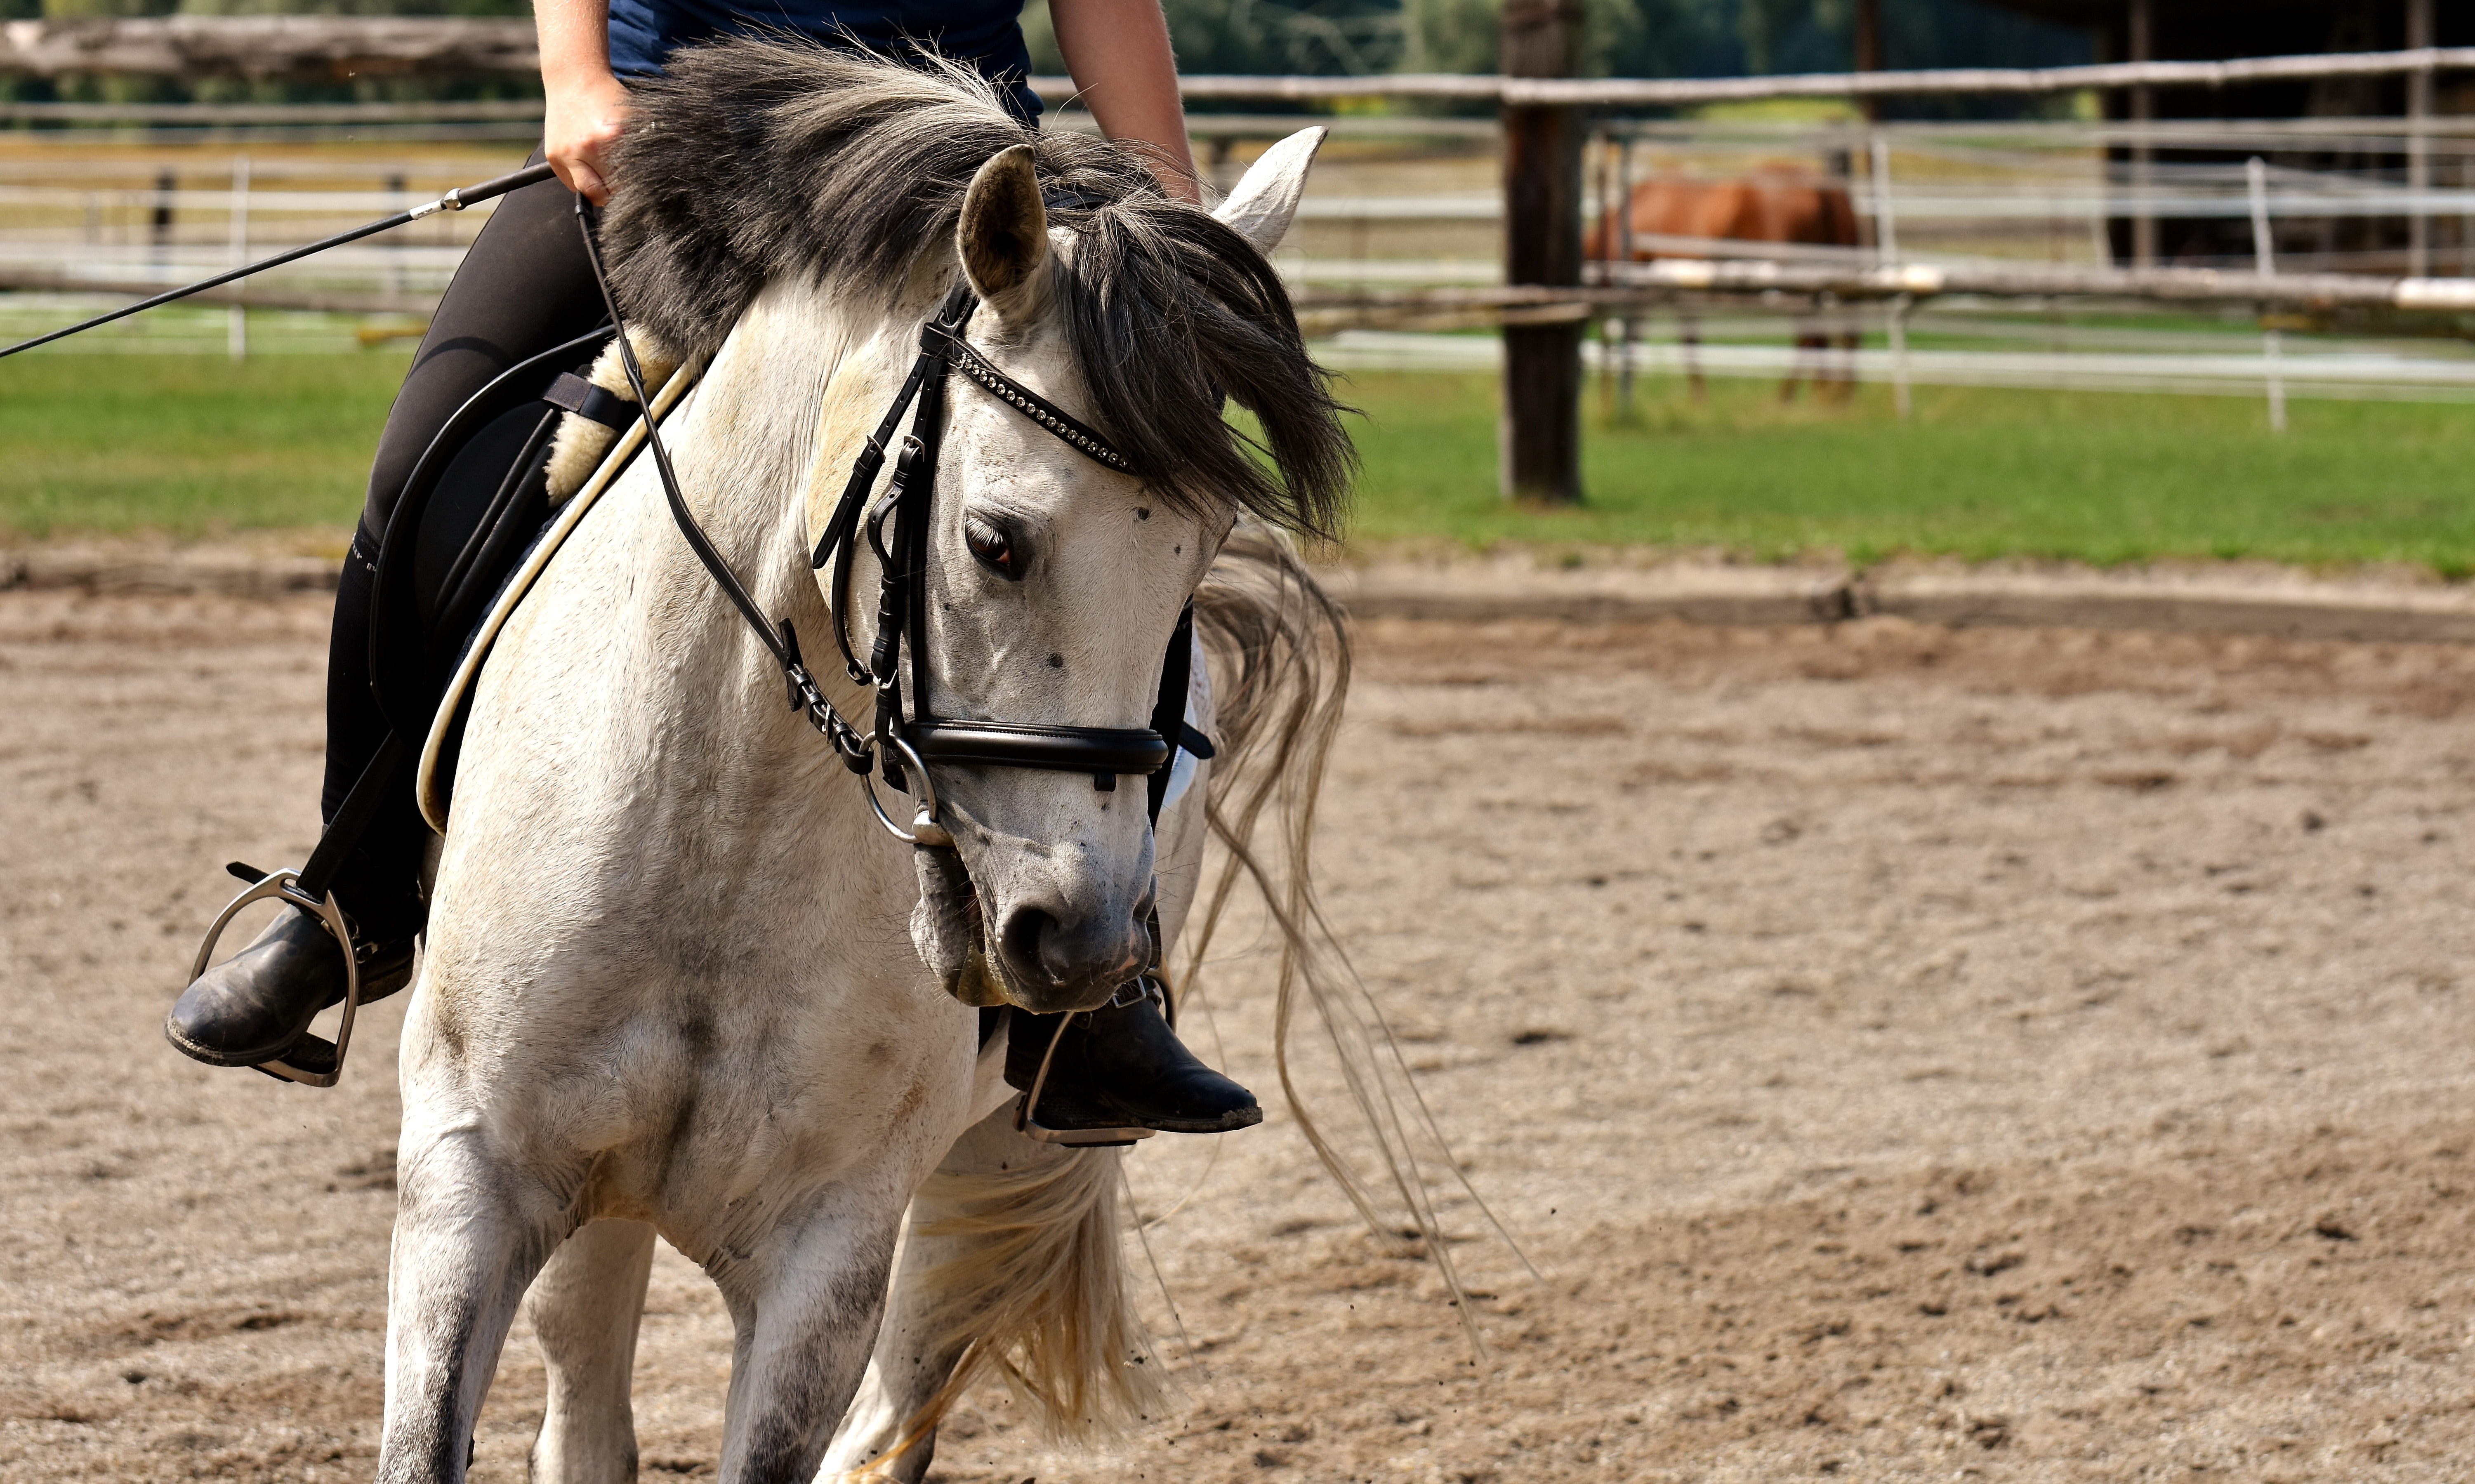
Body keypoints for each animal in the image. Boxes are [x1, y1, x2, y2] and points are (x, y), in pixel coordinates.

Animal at [1587, 167, 1862, 403]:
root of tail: (1825, 189)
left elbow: (1674, 340)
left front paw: (1698, 397)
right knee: (1827, 335)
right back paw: (1830, 394)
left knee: (1808, 336)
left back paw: (1791, 395)